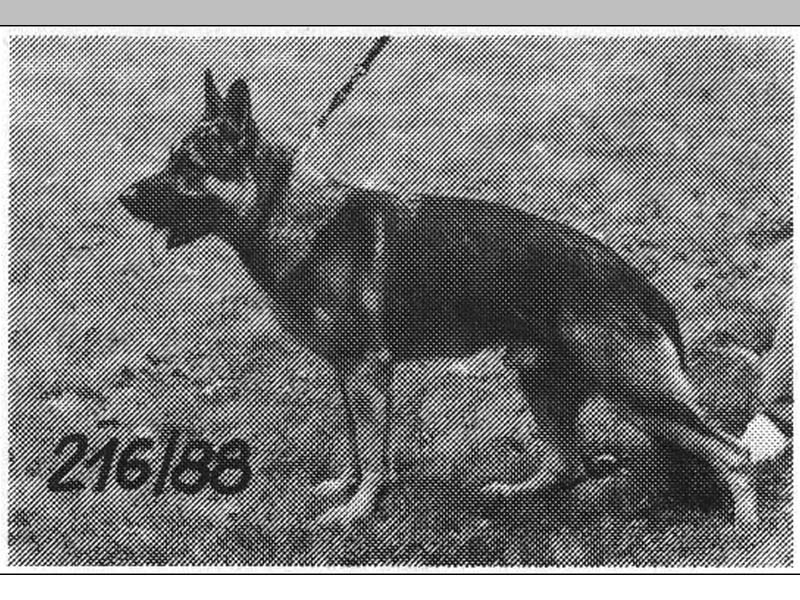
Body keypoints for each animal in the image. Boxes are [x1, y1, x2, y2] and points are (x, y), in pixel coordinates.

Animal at [119, 70, 757, 527]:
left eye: (188, 167)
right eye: (172, 160)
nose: (123, 196)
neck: (280, 208)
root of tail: (630, 275)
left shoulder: (367, 368)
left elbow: (375, 452)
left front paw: (359, 508)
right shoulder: (347, 371)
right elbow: (357, 444)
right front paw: (350, 486)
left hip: (638, 395)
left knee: (733, 454)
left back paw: (745, 529)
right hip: (545, 385)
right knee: (569, 463)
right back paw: (515, 491)